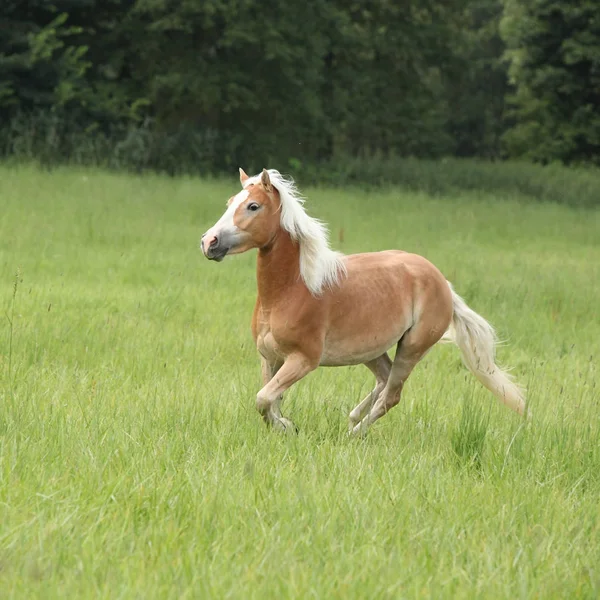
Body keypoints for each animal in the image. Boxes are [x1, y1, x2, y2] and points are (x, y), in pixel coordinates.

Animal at [202, 166, 524, 434]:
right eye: (230, 202)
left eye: (253, 206)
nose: (209, 242)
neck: (293, 290)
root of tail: (442, 282)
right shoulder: (270, 357)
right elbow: (270, 398)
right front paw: (284, 426)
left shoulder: (303, 360)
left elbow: (264, 398)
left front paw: (287, 427)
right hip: (371, 350)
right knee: (384, 378)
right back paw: (353, 417)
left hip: (412, 347)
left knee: (392, 395)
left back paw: (354, 433)